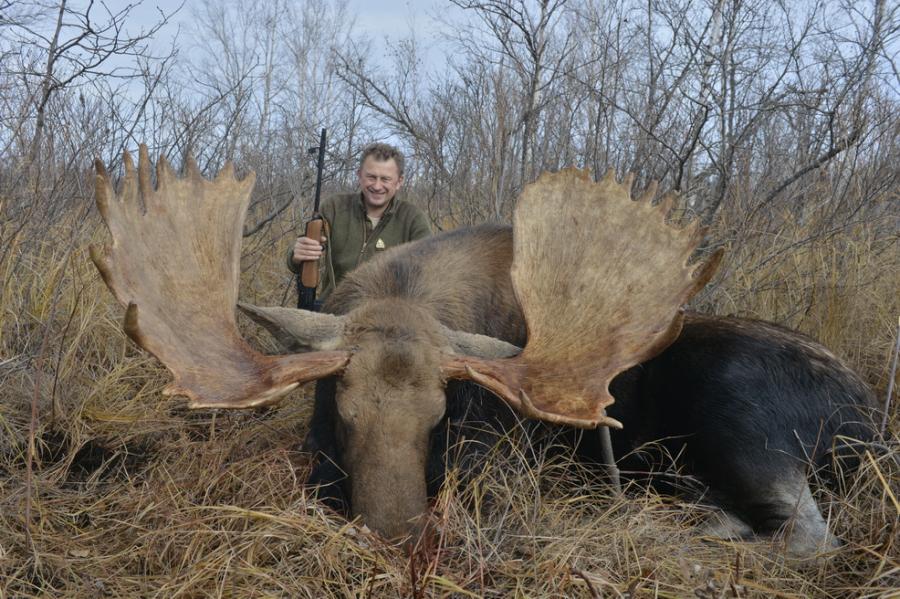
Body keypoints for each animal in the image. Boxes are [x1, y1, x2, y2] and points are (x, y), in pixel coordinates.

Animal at [91, 148, 874, 559]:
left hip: (743, 416)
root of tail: (868, 415)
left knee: (811, 534)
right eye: (341, 408)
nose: (397, 531)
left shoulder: (494, 462)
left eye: (441, 412)